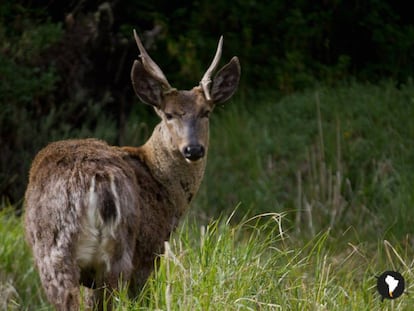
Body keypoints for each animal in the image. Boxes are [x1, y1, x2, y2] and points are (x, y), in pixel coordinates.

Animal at [23, 29, 239, 311]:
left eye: (206, 112)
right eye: (169, 114)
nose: (193, 149)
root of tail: (96, 183)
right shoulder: (151, 247)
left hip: (58, 254)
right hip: (117, 250)